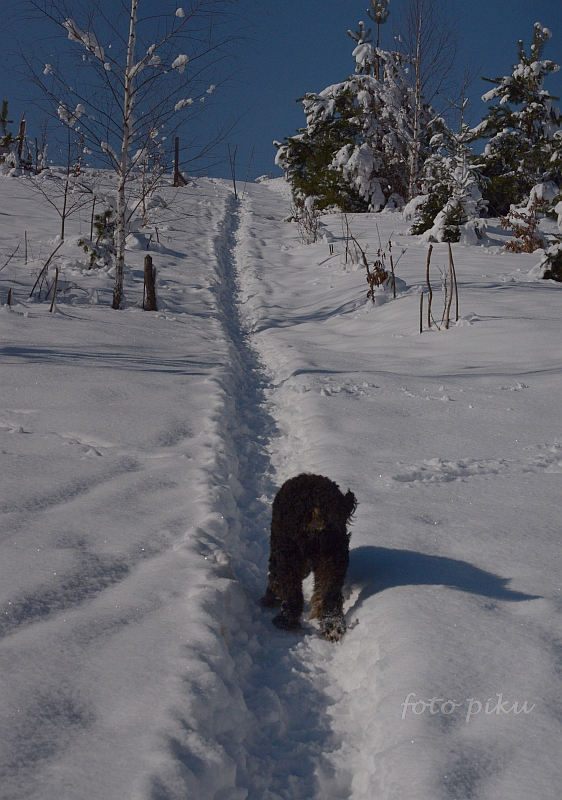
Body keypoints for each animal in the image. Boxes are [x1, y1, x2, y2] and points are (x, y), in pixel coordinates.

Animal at [261, 473, 357, 642]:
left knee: (292, 593)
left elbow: (275, 579)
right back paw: (333, 627)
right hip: (334, 558)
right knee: (331, 596)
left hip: (289, 555)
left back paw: (285, 620)